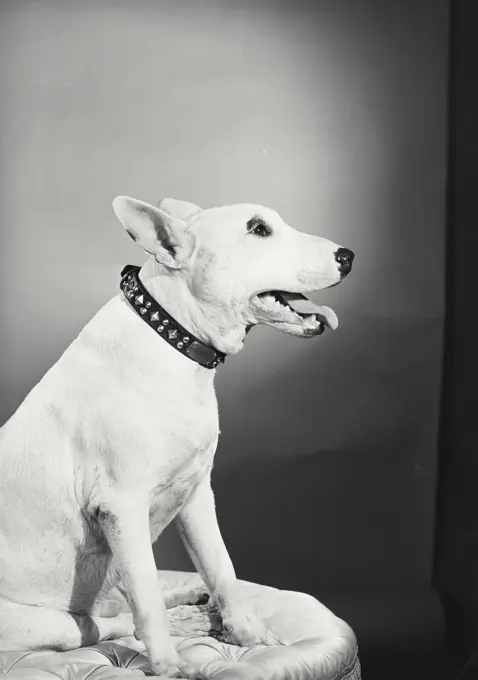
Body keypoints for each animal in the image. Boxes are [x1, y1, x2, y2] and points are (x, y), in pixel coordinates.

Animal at [0, 194, 352, 676]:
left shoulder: (197, 493)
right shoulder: (121, 508)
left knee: (117, 605)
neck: (173, 339)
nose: (348, 256)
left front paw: (247, 635)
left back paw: (188, 601)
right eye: (258, 229)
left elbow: (220, 567)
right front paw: (168, 666)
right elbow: (146, 596)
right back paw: (181, 622)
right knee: (102, 622)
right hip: (45, 625)